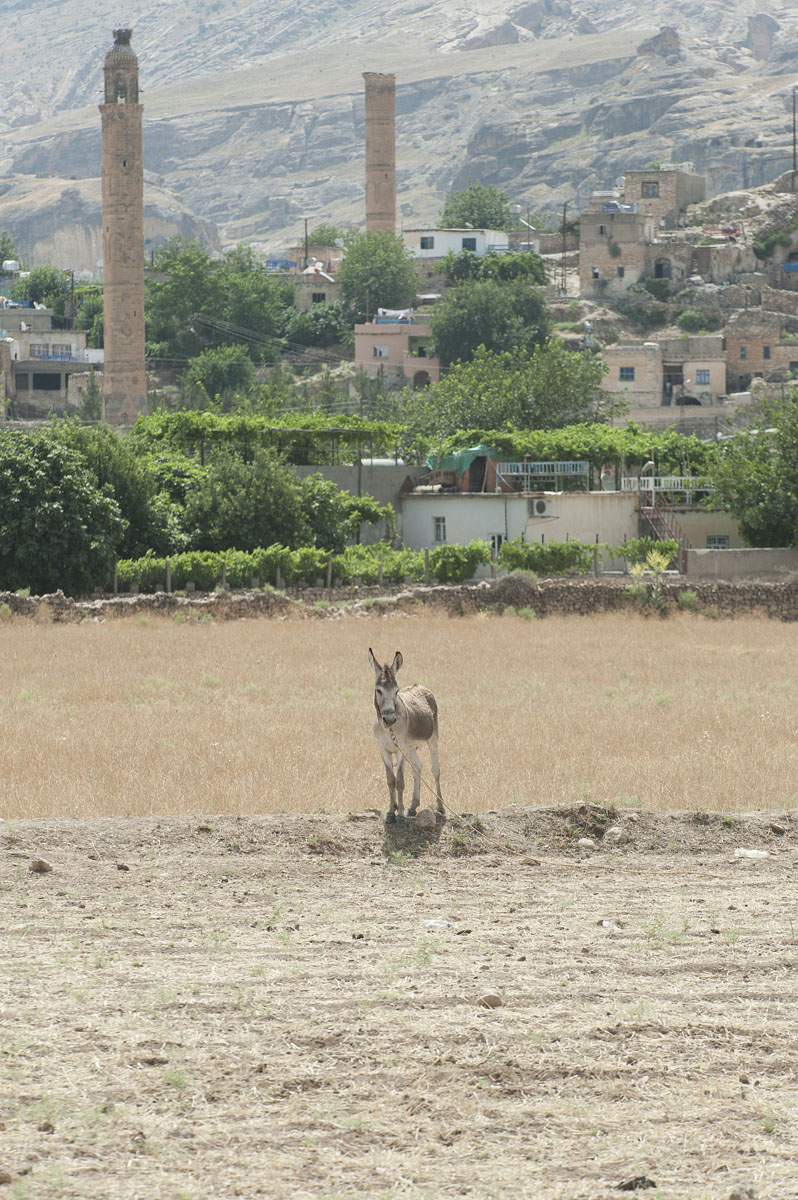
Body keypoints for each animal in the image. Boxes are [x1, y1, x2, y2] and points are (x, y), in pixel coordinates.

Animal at [368, 648, 445, 824]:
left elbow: (400, 781)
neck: (387, 729)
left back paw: (440, 807)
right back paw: (412, 807)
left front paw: (401, 814)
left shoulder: (400, 749)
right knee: (417, 768)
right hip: (411, 747)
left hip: (432, 738)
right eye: (378, 690)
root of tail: (421, 686)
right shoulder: (383, 749)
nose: (389, 719)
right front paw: (391, 812)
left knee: (435, 770)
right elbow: (390, 780)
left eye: (396, 691)